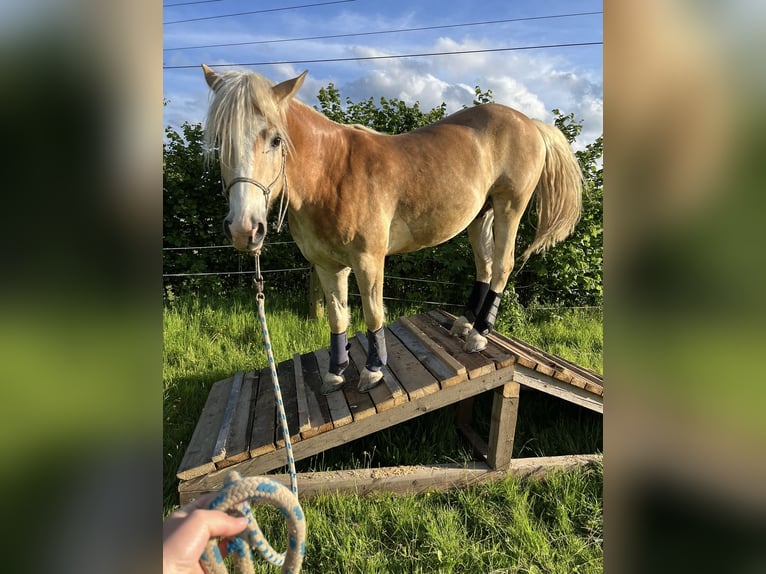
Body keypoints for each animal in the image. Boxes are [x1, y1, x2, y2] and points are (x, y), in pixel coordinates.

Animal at [201, 64, 584, 396]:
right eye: (219, 140)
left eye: (276, 139)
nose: (244, 229)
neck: (331, 175)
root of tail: (530, 122)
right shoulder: (327, 265)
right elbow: (337, 316)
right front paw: (335, 372)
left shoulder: (368, 260)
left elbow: (373, 311)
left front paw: (373, 369)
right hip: (480, 216)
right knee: (485, 267)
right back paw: (464, 323)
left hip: (509, 209)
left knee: (502, 267)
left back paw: (478, 334)